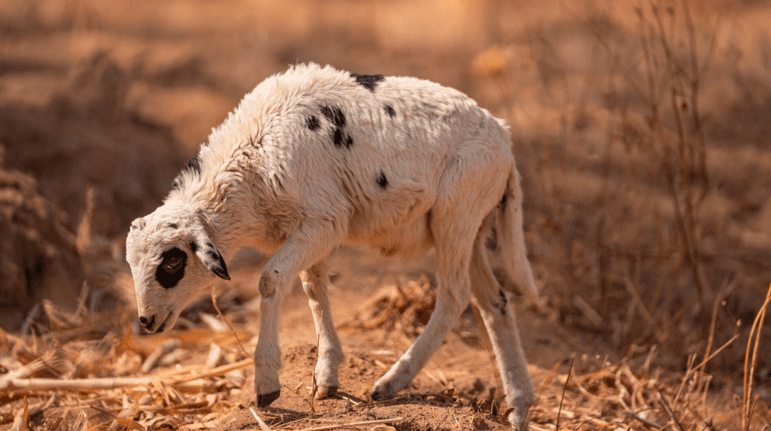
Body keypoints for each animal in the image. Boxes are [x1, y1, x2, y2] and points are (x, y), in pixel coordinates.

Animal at [125, 63, 539, 430]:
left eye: (172, 262)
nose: (146, 321)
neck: (250, 160)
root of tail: (505, 140)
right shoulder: (311, 229)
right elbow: (314, 289)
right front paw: (326, 377)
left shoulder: (323, 219)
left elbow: (270, 280)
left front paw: (267, 385)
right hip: (473, 225)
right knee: (495, 302)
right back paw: (518, 407)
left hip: (455, 215)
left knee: (455, 295)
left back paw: (391, 383)